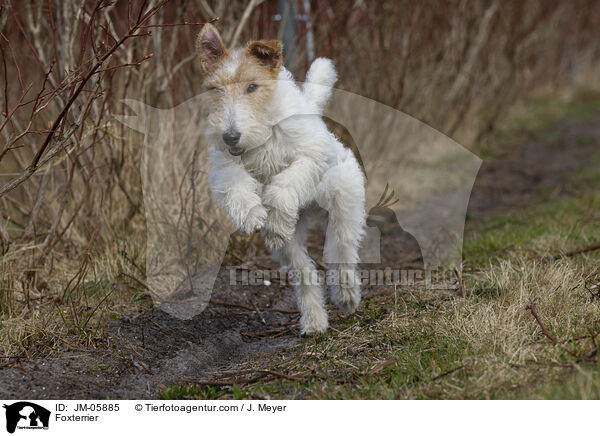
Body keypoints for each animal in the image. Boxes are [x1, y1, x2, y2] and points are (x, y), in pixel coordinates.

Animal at [197, 23, 366, 334]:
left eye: (252, 86)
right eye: (216, 89)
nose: (230, 136)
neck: (264, 130)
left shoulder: (310, 157)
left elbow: (284, 185)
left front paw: (273, 220)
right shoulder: (224, 167)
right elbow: (238, 187)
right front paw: (252, 216)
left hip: (343, 213)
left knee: (342, 257)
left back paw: (347, 297)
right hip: (291, 245)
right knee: (305, 272)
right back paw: (314, 321)